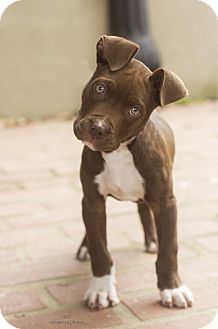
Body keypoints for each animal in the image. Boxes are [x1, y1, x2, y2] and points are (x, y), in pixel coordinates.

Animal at [73, 34, 194, 308]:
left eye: (134, 110)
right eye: (100, 88)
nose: (97, 127)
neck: (119, 151)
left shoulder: (165, 201)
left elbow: (169, 249)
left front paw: (173, 288)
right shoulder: (92, 200)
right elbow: (99, 246)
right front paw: (101, 288)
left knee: (144, 210)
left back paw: (152, 240)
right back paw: (84, 247)